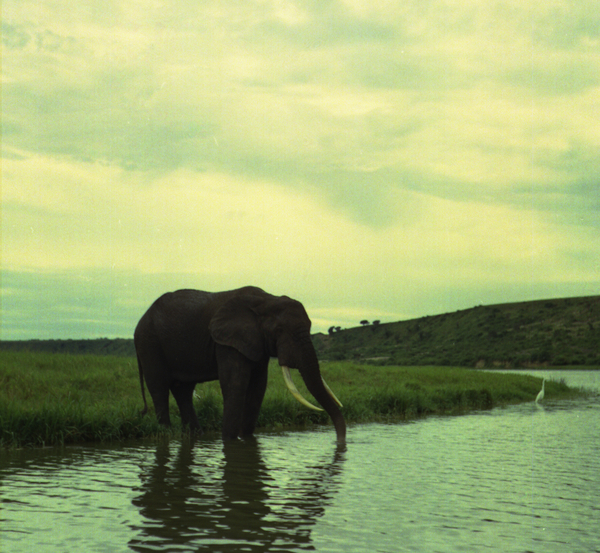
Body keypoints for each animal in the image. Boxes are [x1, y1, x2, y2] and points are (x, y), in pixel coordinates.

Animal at [133, 286, 344, 442]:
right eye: (279, 330)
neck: (267, 299)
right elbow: (235, 384)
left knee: (183, 390)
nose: (341, 443)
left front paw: (246, 439)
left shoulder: (256, 341)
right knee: (159, 388)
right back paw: (166, 435)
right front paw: (229, 441)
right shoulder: (227, 342)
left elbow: (258, 387)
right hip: (149, 342)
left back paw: (195, 436)